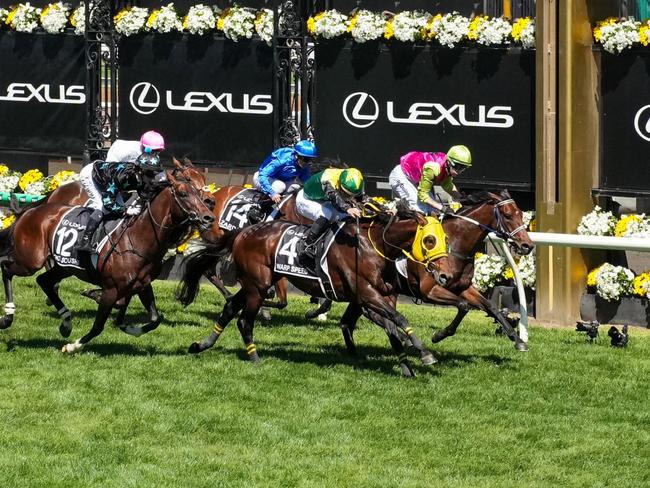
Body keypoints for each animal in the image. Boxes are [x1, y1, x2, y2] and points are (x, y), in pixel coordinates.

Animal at [0, 171, 215, 350]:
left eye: (198, 191)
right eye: (183, 194)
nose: (208, 217)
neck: (137, 238)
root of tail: (31, 211)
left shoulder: (143, 284)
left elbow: (155, 319)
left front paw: (130, 328)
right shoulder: (111, 289)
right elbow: (98, 326)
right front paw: (72, 346)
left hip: (65, 266)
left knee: (44, 281)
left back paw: (66, 322)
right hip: (30, 260)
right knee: (7, 268)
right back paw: (8, 316)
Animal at [177, 206, 450, 378]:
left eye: (445, 239)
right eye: (429, 241)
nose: (444, 276)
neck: (375, 246)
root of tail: (244, 231)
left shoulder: (383, 296)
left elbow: (392, 326)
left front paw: (406, 367)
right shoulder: (367, 294)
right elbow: (399, 319)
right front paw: (425, 352)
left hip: (256, 283)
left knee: (230, 307)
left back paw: (202, 345)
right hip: (258, 285)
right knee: (244, 320)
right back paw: (254, 357)